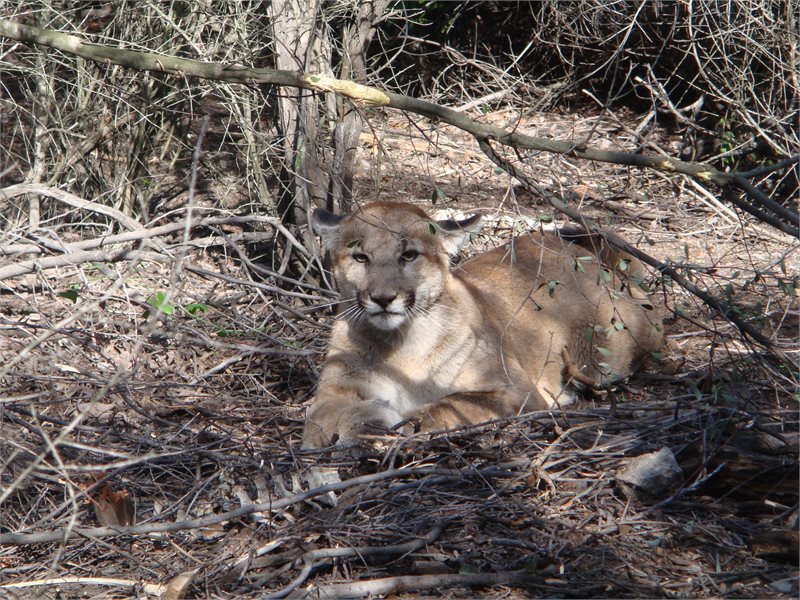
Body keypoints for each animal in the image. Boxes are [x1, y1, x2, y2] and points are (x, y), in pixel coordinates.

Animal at [302, 202, 664, 450]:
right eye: (361, 257)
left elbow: (456, 403)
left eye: (408, 255)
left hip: (604, 356)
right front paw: (372, 424)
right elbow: (330, 416)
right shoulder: (333, 393)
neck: (402, 347)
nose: (382, 298)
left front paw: (414, 421)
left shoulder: (514, 389)